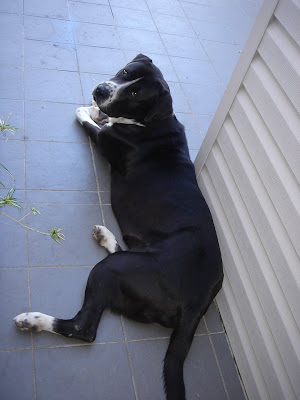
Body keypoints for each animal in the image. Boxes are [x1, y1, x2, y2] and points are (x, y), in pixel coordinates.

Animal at [15, 54, 224, 400]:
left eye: (137, 94)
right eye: (127, 72)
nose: (101, 90)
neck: (149, 123)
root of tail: (198, 302)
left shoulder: (104, 138)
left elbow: (89, 121)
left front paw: (88, 109)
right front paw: (96, 107)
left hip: (116, 269)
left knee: (83, 328)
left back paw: (34, 320)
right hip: (129, 259)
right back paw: (105, 236)